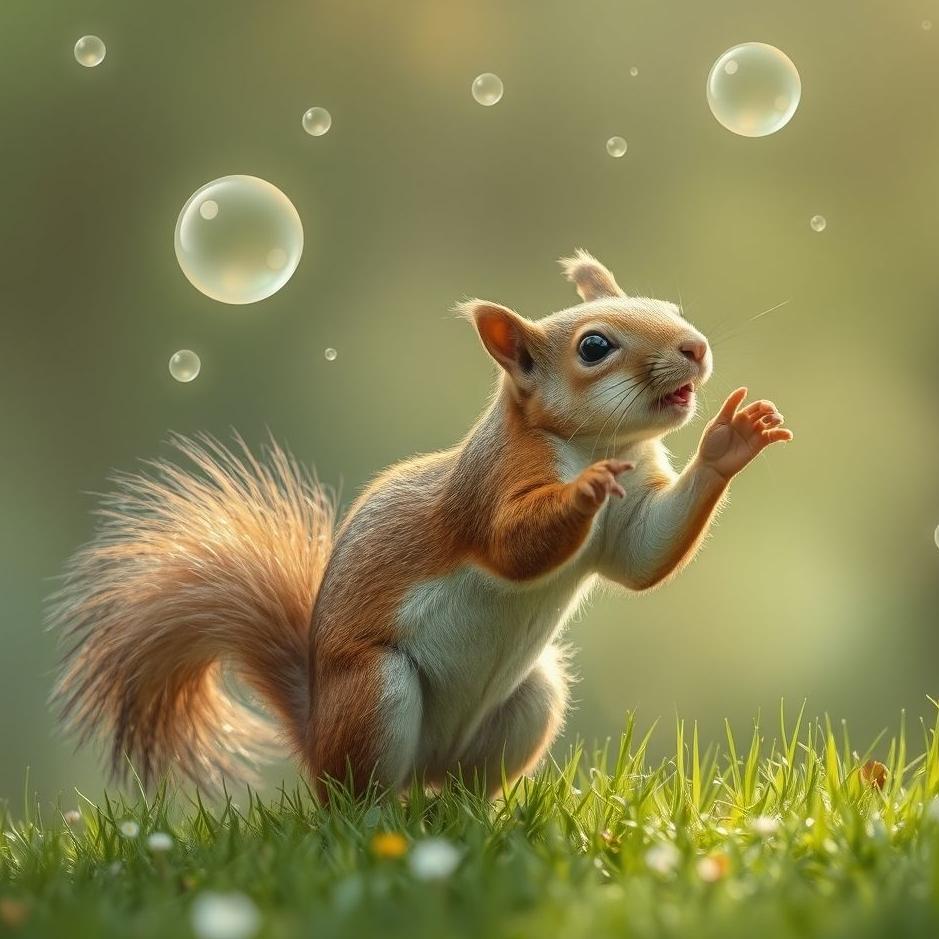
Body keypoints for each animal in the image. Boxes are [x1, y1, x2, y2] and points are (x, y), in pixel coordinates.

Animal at [50, 250, 792, 797]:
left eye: (670, 308)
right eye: (594, 347)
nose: (695, 347)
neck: (601, 444)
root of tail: (316, 736)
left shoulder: (634, 514)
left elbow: (645, 555)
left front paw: (732, 439)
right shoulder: (491, 484)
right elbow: (511, 544)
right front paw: (583, 489)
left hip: (532, 699)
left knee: (461, 789)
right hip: (375, 693)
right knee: (359, 799)